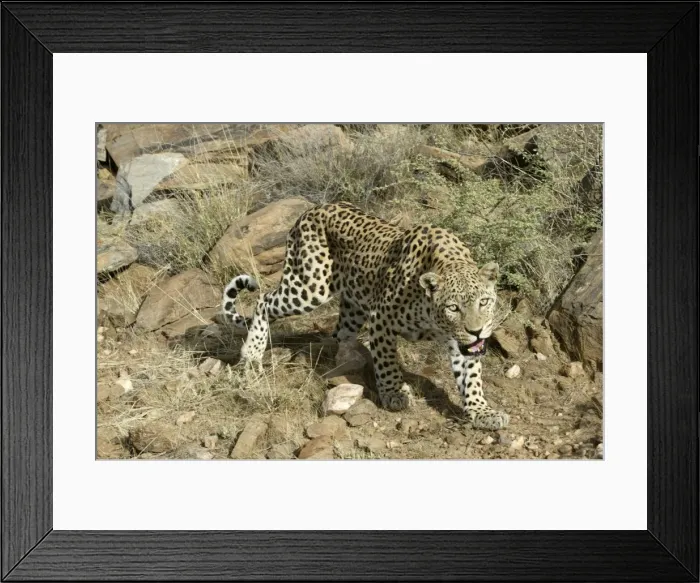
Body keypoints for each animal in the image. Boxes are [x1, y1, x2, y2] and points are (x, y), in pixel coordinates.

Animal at [221, 201, 509, 430]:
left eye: (484, 302)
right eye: (453, 308)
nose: (477, 331)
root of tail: (311, 209)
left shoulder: (459, 341)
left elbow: (471, 376)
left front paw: (482, 411)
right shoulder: (381, 316)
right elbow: (387, 362)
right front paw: (394, 394)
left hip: (352, 305)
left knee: (340, 334)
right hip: (309, 286)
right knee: (265, 300)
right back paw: (252, 353)